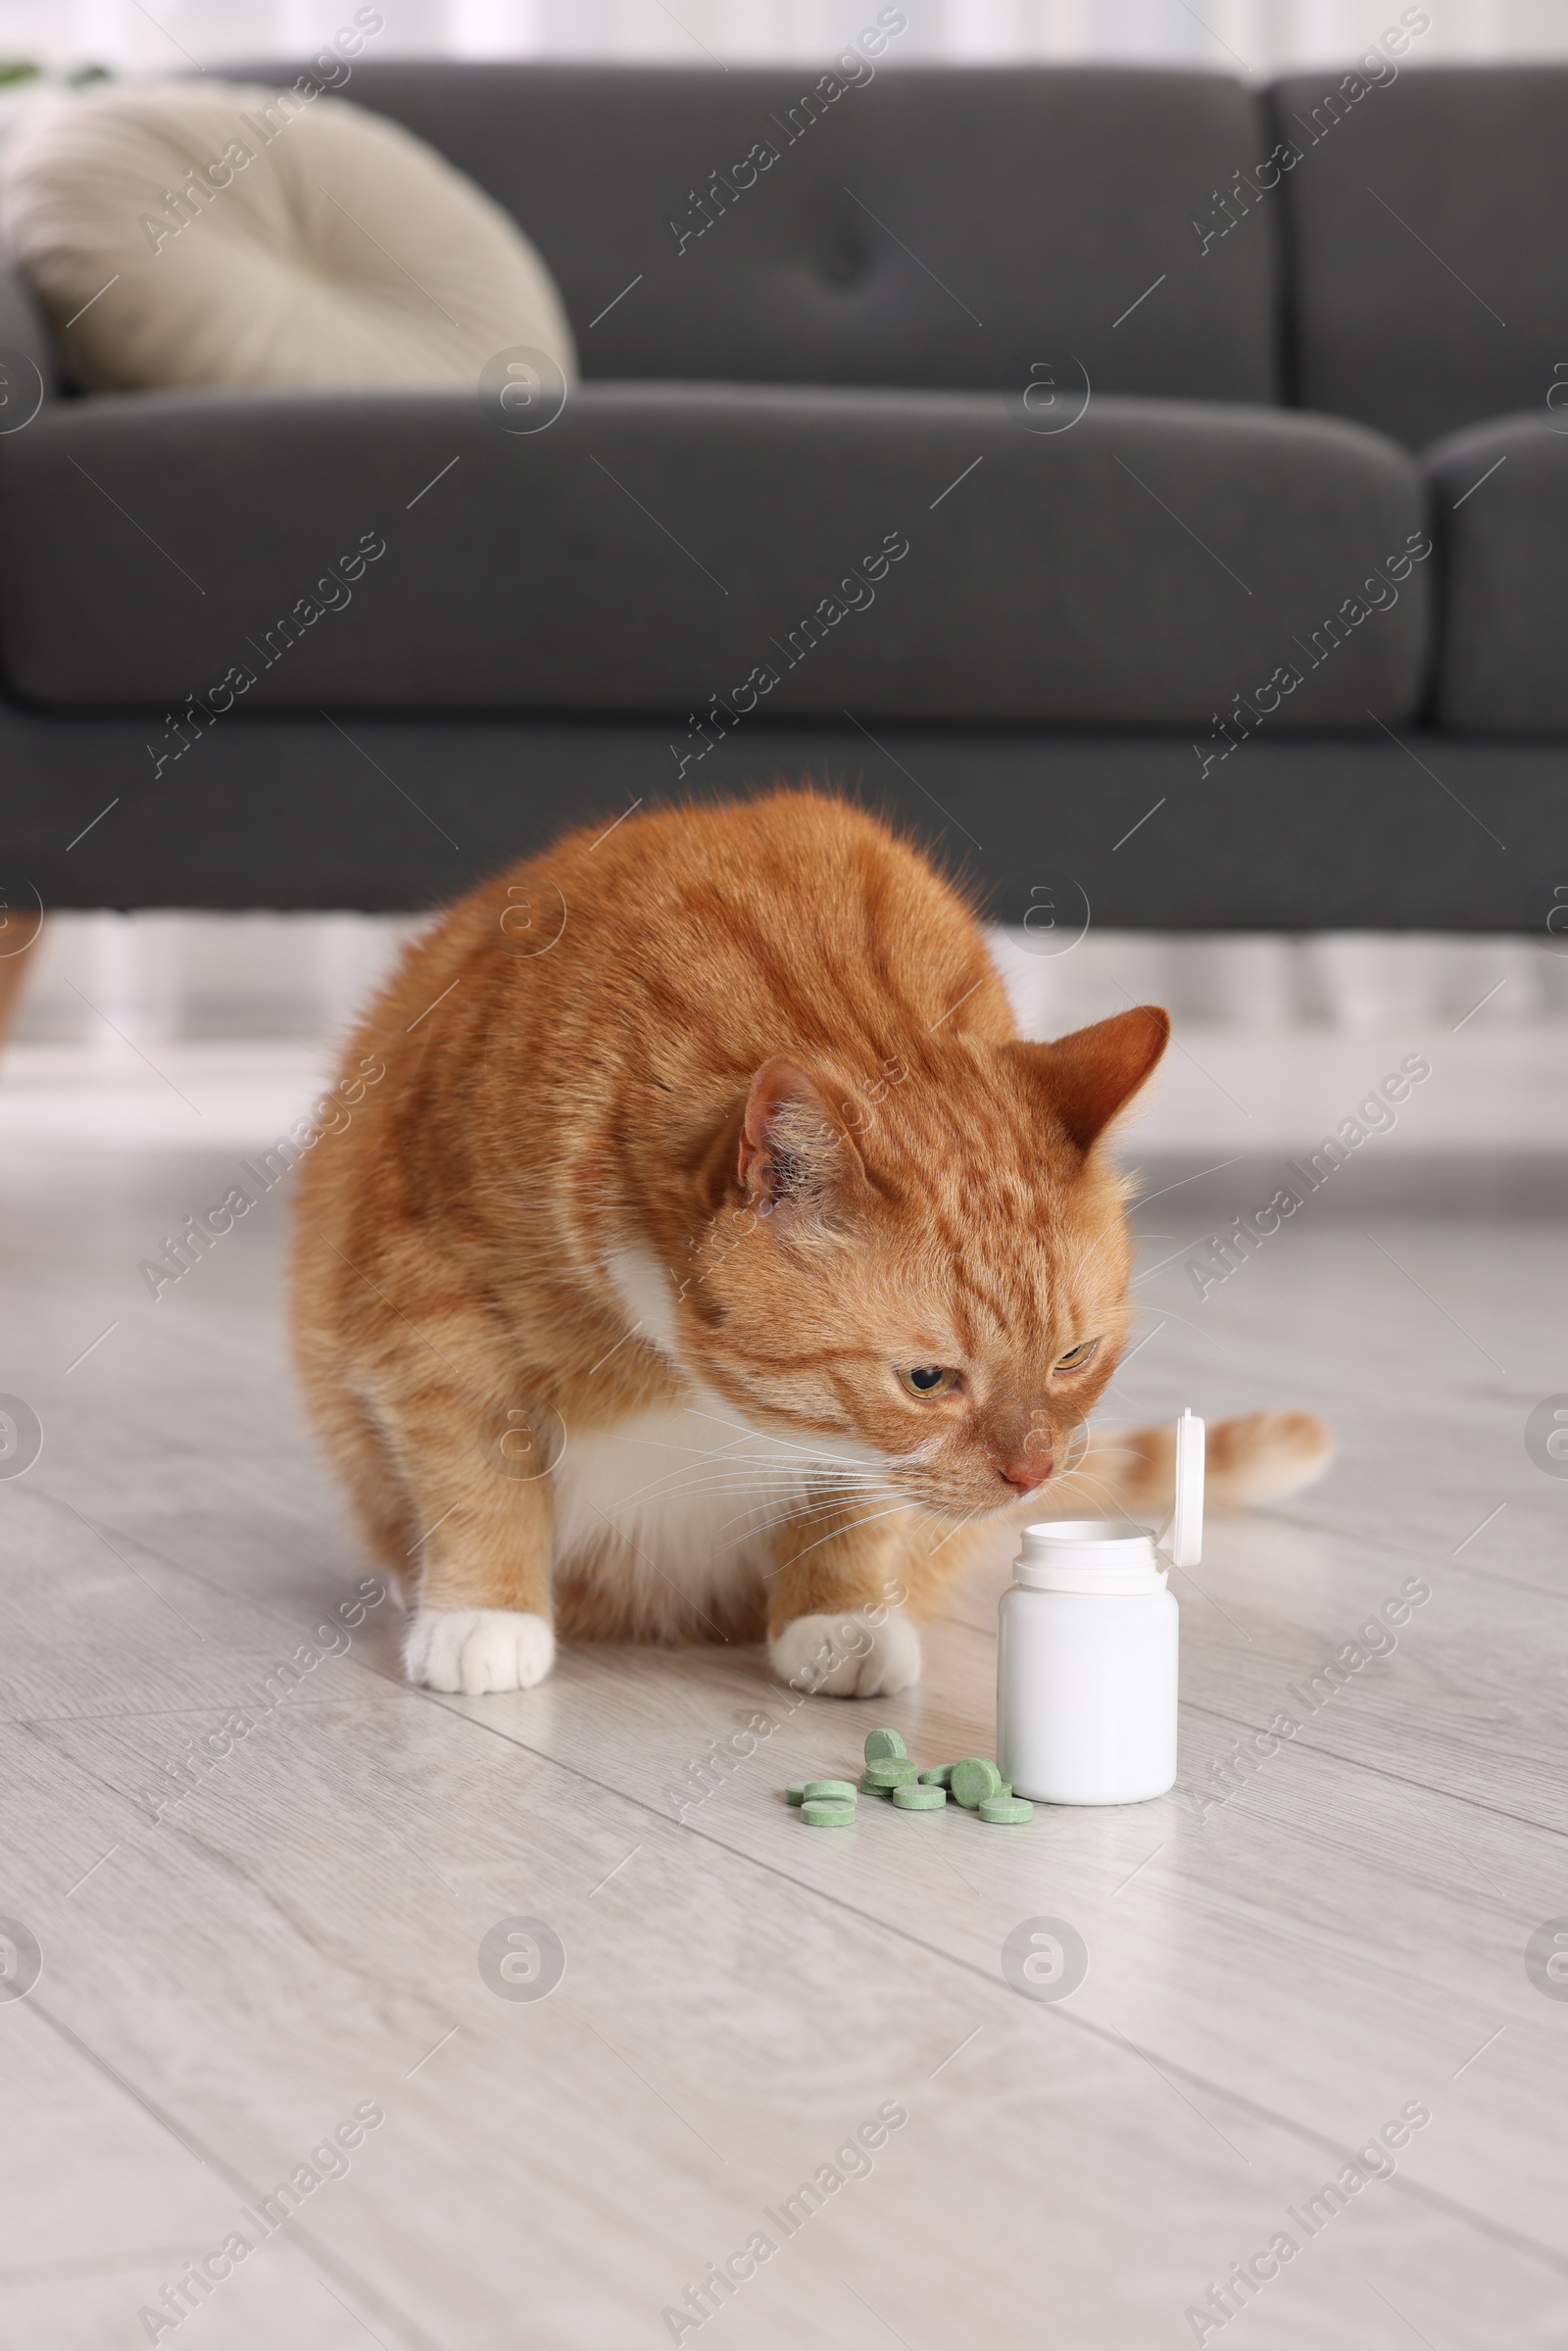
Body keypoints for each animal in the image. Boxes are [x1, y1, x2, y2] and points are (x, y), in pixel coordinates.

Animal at [291, 790, 1325, 1692]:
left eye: (1074, 1357)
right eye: (928, 1380)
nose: (1032, 1474)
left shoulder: (860, 1460)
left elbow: (853, 1501)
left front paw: (843, 1616)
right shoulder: (427, 1307)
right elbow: (478, 1469)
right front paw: (485, 1615)